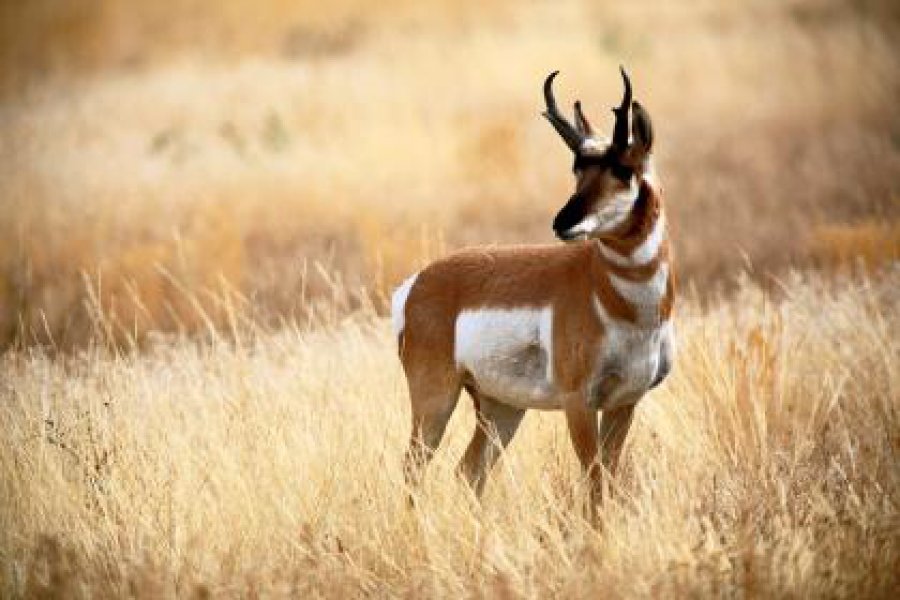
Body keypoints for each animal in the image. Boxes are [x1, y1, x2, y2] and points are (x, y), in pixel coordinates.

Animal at [392, 68, 674, 508]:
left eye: (624, 170)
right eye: (577, 169)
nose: (563, 222)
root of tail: (418, 283)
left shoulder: (625, 402)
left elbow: (608, 482)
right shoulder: (579, 403)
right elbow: (593, 482)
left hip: (501, 407)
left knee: (468, 471)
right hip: (435, 399)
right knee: (413, 471)